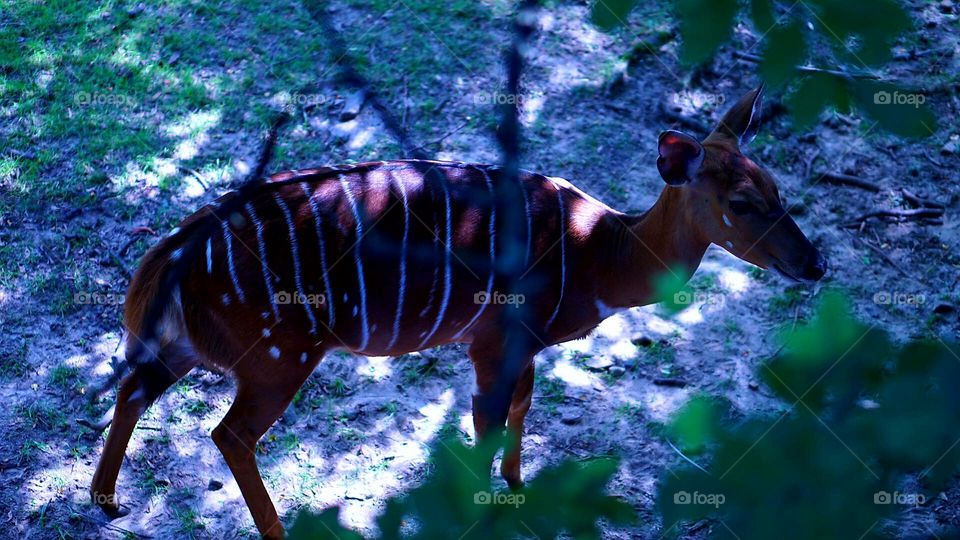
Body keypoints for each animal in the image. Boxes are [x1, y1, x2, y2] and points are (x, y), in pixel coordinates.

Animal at [90, 86, 826, 538]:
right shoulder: (494, 340)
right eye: (742, 204)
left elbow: (521, 413)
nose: (816, 265)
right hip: (279, 358)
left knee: (133, 390)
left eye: (777, 188)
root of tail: (174, 250)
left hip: (188, 347)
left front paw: (521, 493)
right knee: (229, 433)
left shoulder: (523, 346)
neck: (599, 249)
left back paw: (106, 500)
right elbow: (488, 422)